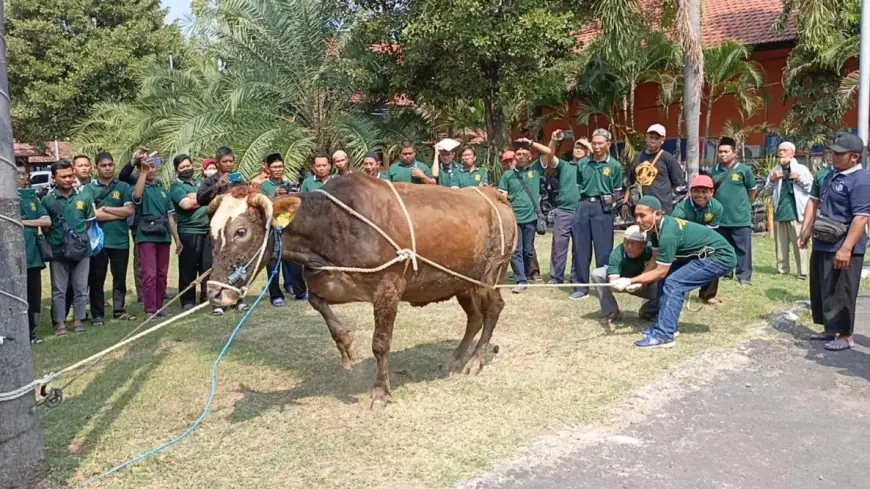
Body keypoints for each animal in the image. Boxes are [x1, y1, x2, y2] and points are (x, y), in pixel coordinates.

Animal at [206, 173, 516, 408]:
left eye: (241, 231)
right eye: (211, 231)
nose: (214, 292)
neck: (331, 226)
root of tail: (495, 195)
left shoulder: (388, 288)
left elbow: (380, 343)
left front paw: (380, 392)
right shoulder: (326, 283)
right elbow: (320, 306)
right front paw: (345, 344)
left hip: (490, 275)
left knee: (493, 309)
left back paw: (474, 360)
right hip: (460, 281)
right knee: (474, 317)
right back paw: (455, 358)